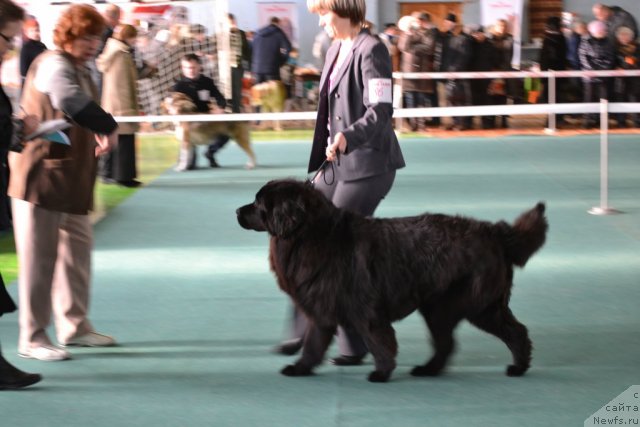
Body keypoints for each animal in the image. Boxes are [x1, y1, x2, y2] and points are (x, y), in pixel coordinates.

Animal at [238, 179, 548, 382]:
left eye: (259, 203)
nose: (238, 211)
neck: (310, 235)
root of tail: (493, 231)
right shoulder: (322, 310)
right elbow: (313, 344)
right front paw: (300, 368)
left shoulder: (364, 309)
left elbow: (378, 340)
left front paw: (382, 372)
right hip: (448, 307)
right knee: (461, 340)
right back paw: (435, 369)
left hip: (473, 305)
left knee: (507, 332)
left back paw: (514, 368)